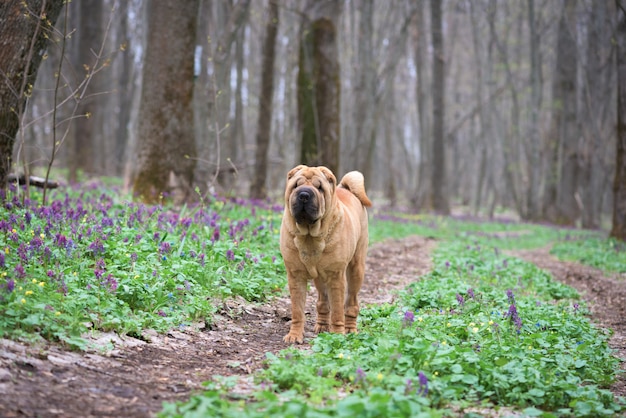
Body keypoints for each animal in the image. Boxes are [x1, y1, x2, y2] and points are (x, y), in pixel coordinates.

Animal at [278, 165, 370, 344]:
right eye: (296, 185)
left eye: (319, 187)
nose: (304, 194)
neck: (309, 235)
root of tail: (346, 188)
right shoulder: (295, 276)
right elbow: (297, 310)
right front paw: (294, 335)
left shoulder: (336, 277)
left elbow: (337, 310)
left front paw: (337, 335)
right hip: (319, 278)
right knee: (322, 302)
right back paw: (321, 326)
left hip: (356, 269)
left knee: (351, 304)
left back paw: (350, 329)